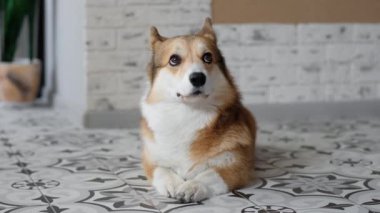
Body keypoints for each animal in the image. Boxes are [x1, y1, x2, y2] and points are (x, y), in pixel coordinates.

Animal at [141, 17, 256, 202]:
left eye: (208, 57)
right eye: (174, 60)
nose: (198, 78)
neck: (189, 112)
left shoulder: (236, 164)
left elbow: (209, 174)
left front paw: (191, 186)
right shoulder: (151, 159)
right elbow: (163, 170)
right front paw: (173, 184)